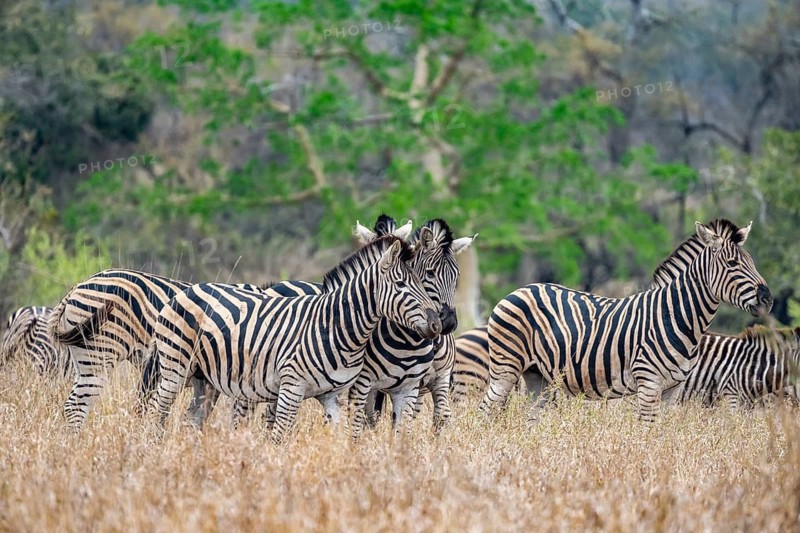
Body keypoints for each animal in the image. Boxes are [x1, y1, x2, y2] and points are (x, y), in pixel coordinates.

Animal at [148, 236, 443, 444]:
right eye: (401, 285)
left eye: (421, 281)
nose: (437, 325)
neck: (336, 326)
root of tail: (188, 289)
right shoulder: (291, 387)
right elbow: (280, 436)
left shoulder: (331, 395)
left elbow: (336, 436)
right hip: (176, 367)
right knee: (157, 410)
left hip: (204, 379)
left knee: (191, 418)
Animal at [480, 219, 774, 423]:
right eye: (733, 264)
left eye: (752, 261)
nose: (768, 299)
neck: (676, 315)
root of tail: (517, 290)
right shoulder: (648, 383)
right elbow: (647, 432)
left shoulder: (673, 389)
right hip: (505, 369)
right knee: (484, 411)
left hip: (536, 376)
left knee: (531, 419)